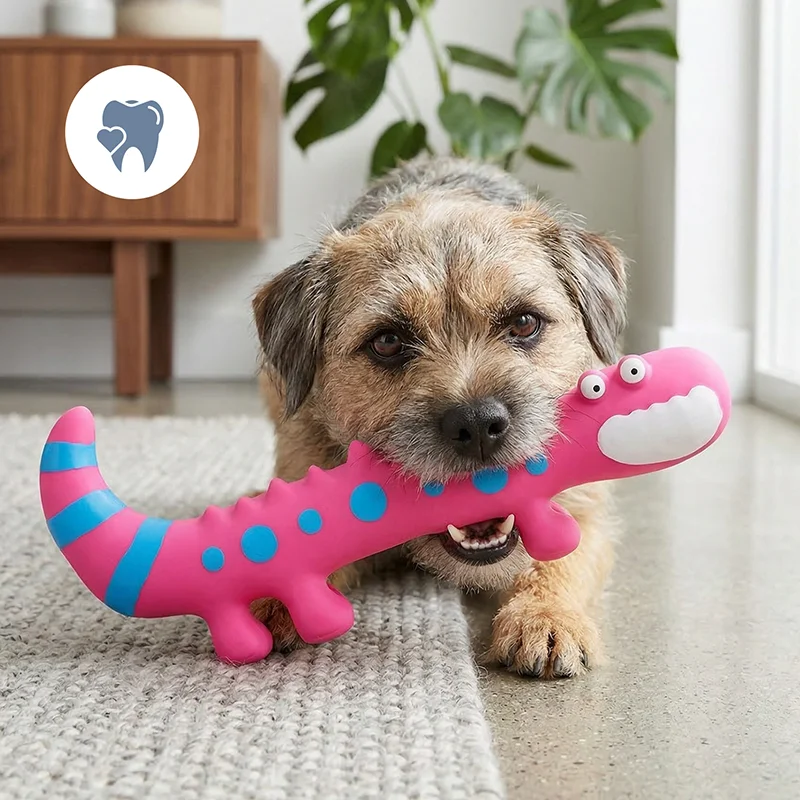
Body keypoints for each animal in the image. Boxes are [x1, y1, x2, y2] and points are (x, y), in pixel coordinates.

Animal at [250, 155, 626, 678]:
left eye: (524, 322)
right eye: (388, 341)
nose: (478, 425)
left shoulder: (584, 509)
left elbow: (559, 560)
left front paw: (545, 616)